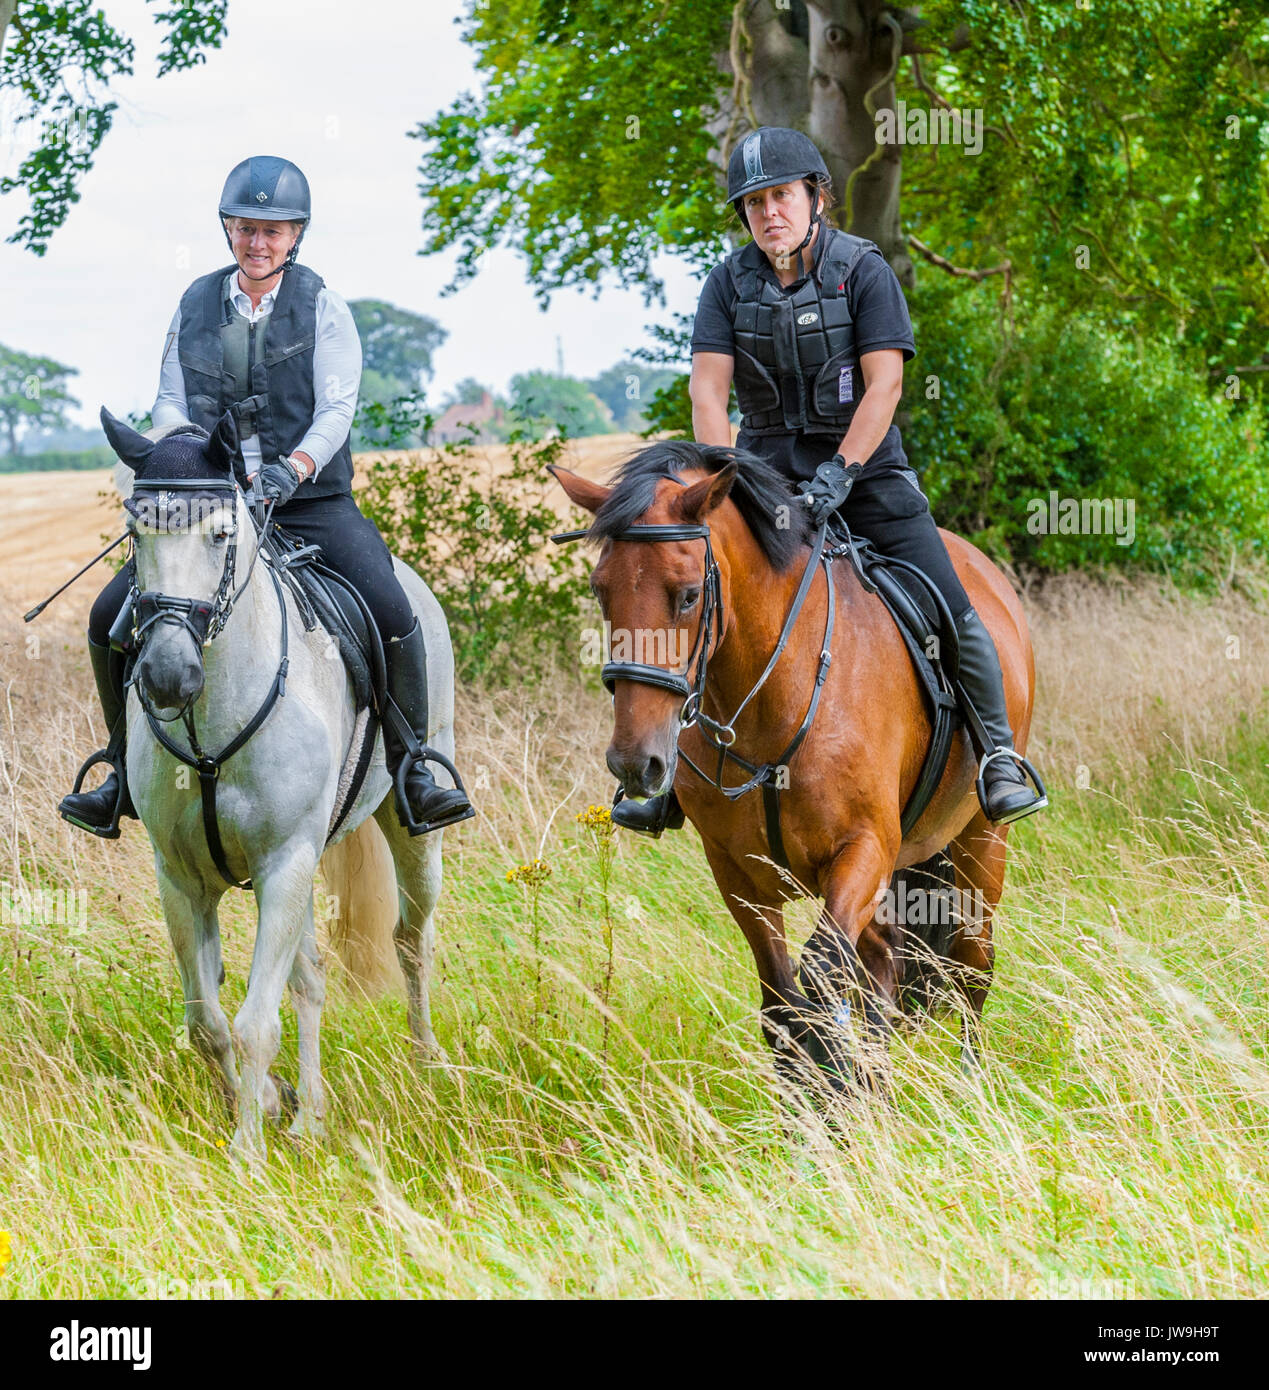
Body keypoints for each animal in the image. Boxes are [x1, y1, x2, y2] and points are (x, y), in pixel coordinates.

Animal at [555, 444, 1039, 1095]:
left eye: (688, 596)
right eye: (601, 591)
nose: (636, 763)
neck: (770, 694)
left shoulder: (863, 850)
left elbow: (822, 977)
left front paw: (839, 1097)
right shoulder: (739, 873)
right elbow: (783, 1006)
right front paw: (814, 1108)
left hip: (980, 841)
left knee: (972, 967)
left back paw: (968, 1089)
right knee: (885, 962)